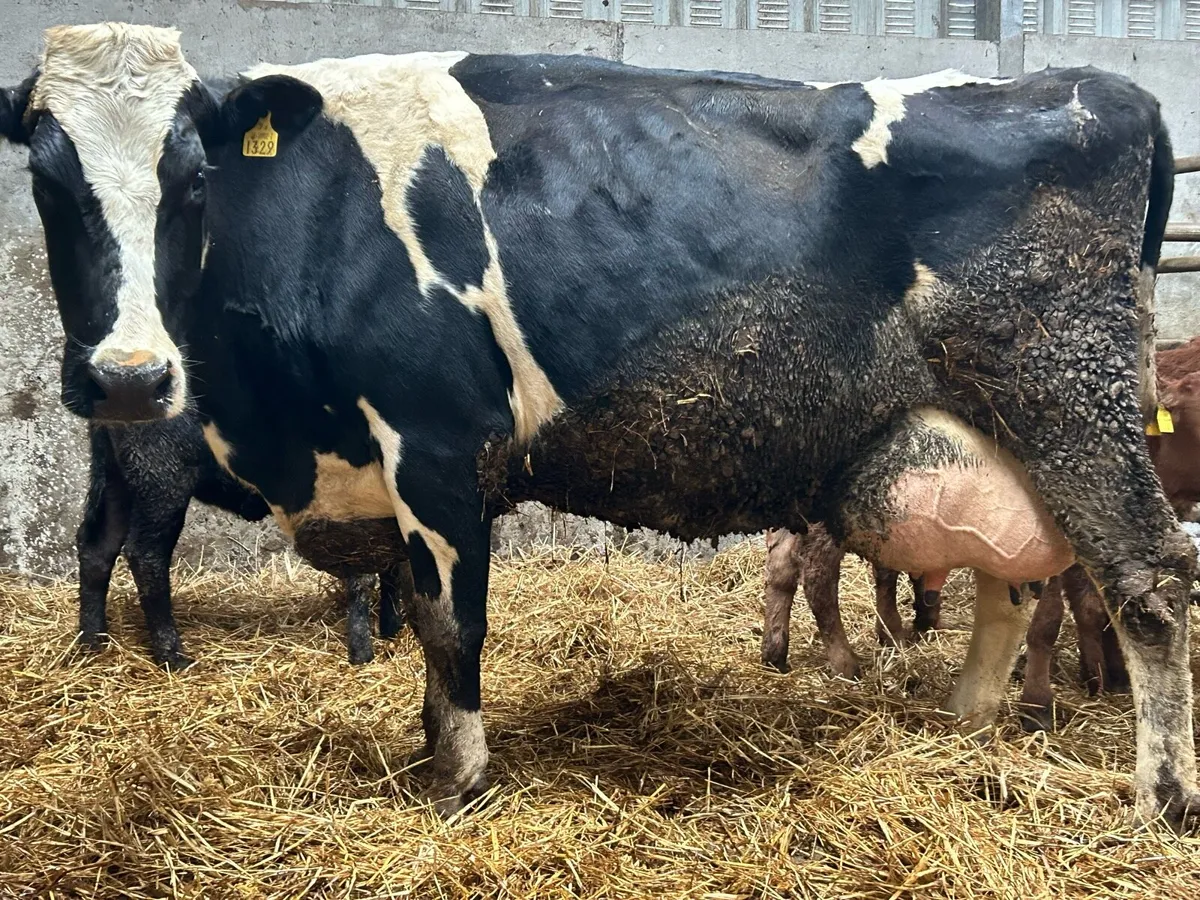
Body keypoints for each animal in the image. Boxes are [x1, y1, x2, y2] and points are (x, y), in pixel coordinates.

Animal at [82, 412, 411, 667]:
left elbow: (394, 567)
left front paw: (391, 629)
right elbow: (365, 572)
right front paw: (363, 653)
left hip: (113, 471)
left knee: (97, 548)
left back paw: (92, 643)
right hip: (161, 473)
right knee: (145, 555)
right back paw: (172, 656)